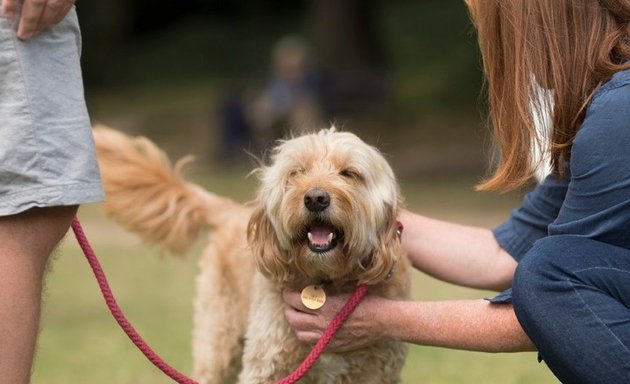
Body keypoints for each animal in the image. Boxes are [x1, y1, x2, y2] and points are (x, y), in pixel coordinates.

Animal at [92, 124, 410, 382]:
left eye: (349, 173)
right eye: (296, 173)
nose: (315, 198)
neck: (326, 280)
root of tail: (229, 210)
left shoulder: (375, 374)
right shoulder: (267, 366)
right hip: (217, 344)